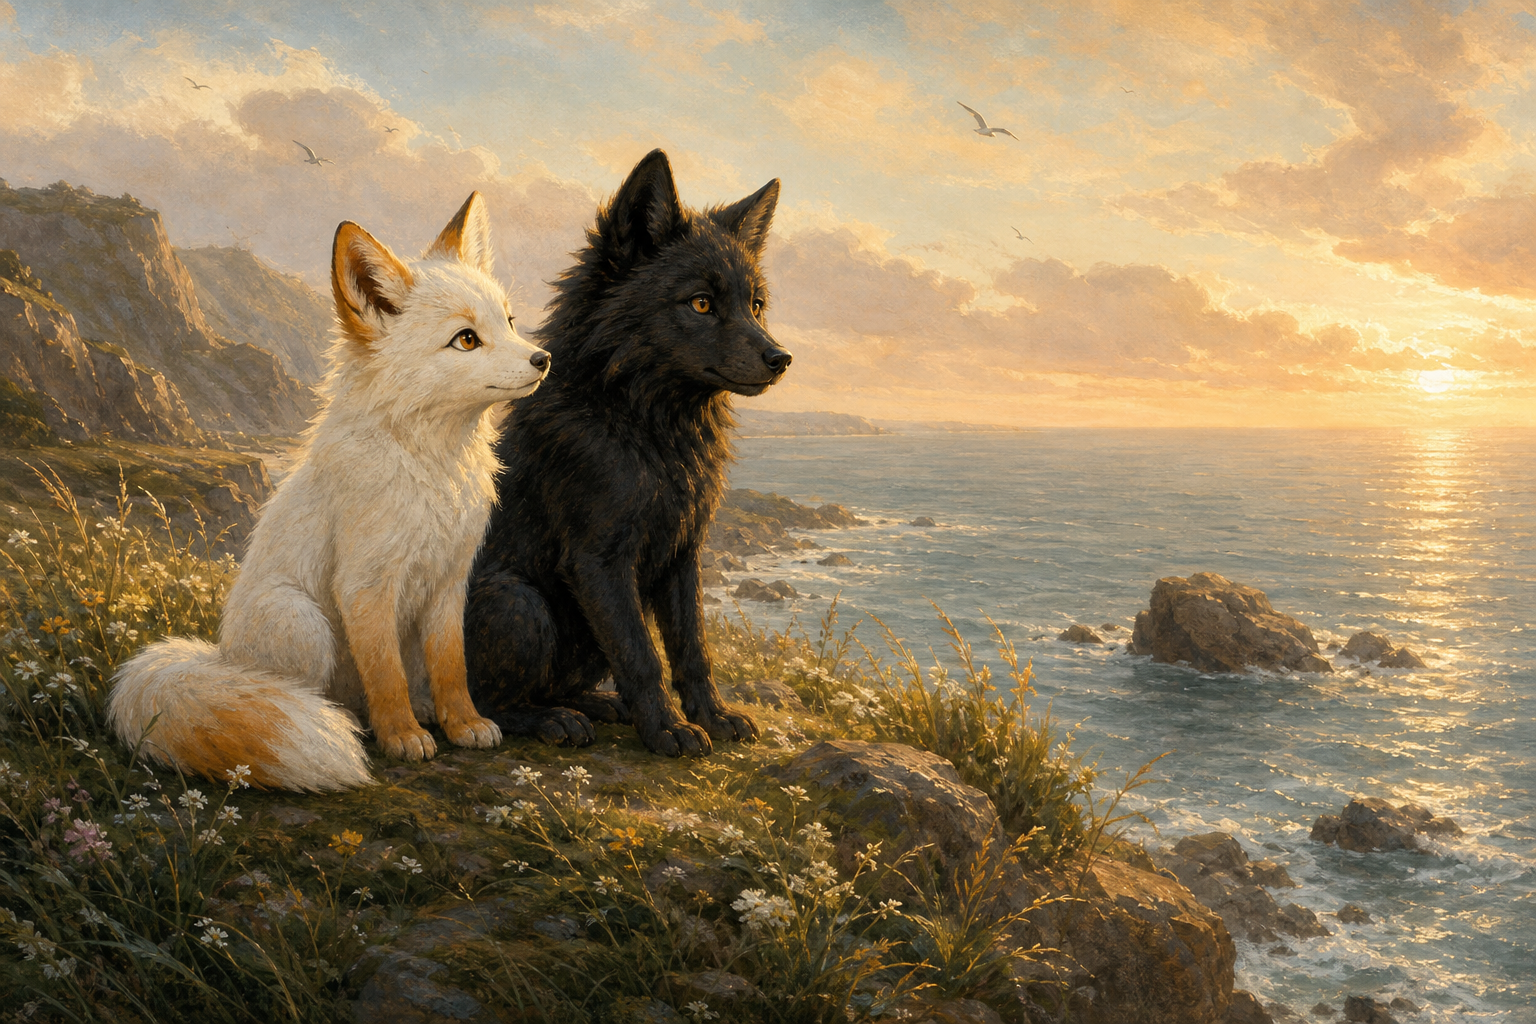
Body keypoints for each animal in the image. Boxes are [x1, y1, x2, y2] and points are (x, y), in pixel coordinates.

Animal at [107, 192, 550, 792]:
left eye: (508, 320)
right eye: (466, 339)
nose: (543, 359)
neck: (429, 469)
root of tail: (220, 656)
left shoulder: (449, 582)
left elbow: (451, 666)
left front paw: (464, 723)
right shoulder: (364, 583)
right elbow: (383, 673)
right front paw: (401, 736)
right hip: (304, 623)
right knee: (303, 696)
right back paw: (341, 721)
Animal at [463, 149, 789, 757]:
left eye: (756, 305)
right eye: (701, 303)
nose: (781, 358)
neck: (650, 430)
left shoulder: (684, 554)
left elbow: (691, 649)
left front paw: (712, 716)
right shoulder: (600, 561)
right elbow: (641, 654)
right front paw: (668, 730)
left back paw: (594, 705)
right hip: (517, 602)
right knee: (484, 705)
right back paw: (551, 721)